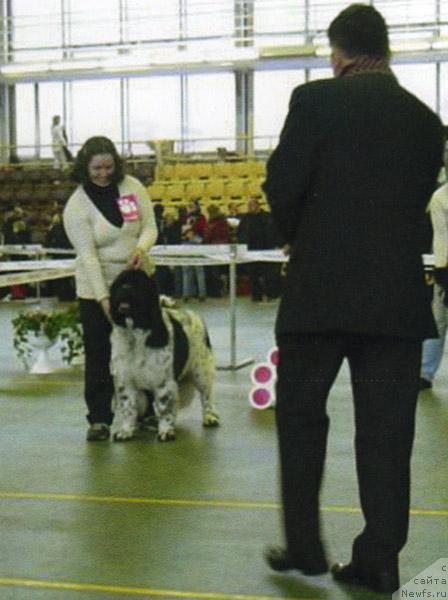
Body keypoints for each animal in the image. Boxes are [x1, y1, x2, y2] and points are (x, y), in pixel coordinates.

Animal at [109, 270, 220, 440]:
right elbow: (128, 407)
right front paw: (126, 431)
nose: (125, 290)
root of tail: (191, 313)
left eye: (138, 285)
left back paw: (209, 416)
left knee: (206, 394)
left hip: (201, 370)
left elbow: (163, 406)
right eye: (120, 284)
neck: (136, 333)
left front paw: (166, 431)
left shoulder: (163, 381)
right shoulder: (125, 380)